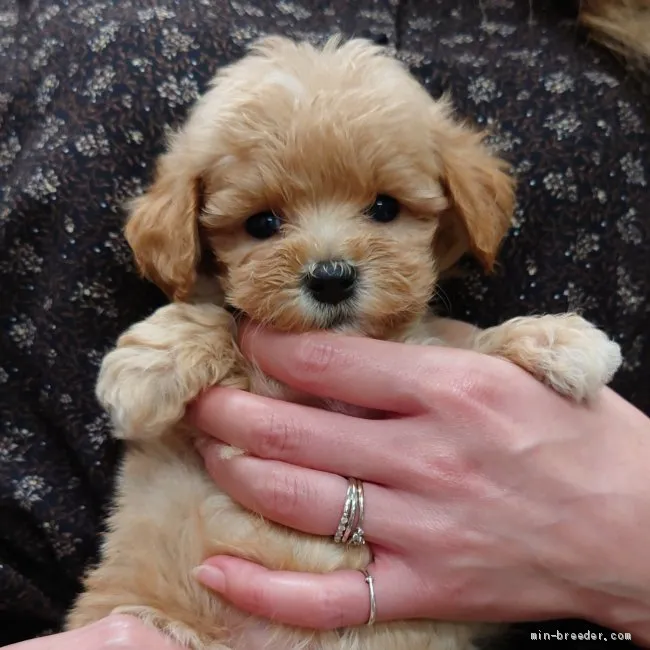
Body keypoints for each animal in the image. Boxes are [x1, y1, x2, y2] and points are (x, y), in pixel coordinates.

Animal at [67, 36, 624, 648]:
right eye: (262, 223)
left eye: (384, 207)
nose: (331, 277)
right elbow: (215, 325)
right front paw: (150, 364)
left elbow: (460, 347)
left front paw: (559, 338)